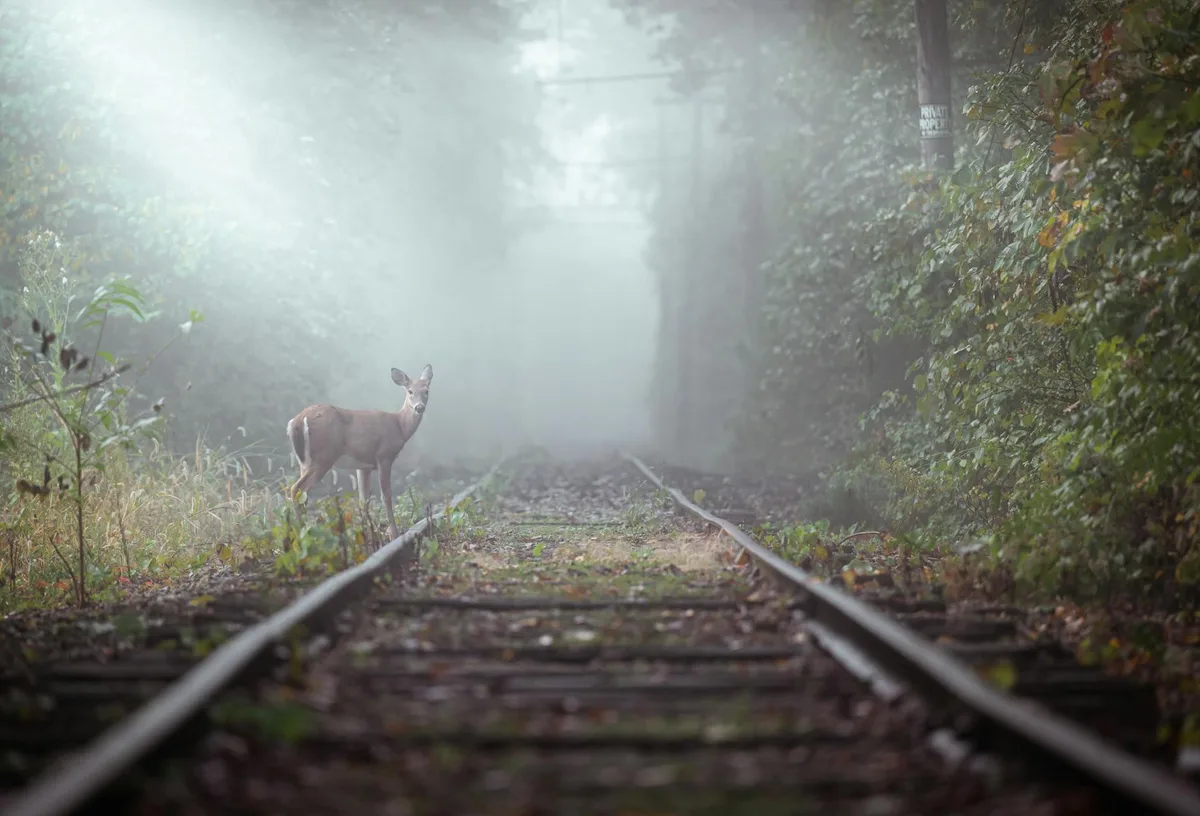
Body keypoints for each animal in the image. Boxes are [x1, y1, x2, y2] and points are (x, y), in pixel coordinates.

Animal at [286, 364, 433, 540]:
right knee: (296, 489)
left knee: (303, 494)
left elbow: (364, 500)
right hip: (323, 457)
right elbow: (386, 496)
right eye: (410, 391)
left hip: (305, 461)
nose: (419, 407)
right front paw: (394, 534)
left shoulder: (363, 466)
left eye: (426, 390)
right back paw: (302, 534)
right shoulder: (384, 456)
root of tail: (296, 421)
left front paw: (369, 535)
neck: (400, 426)